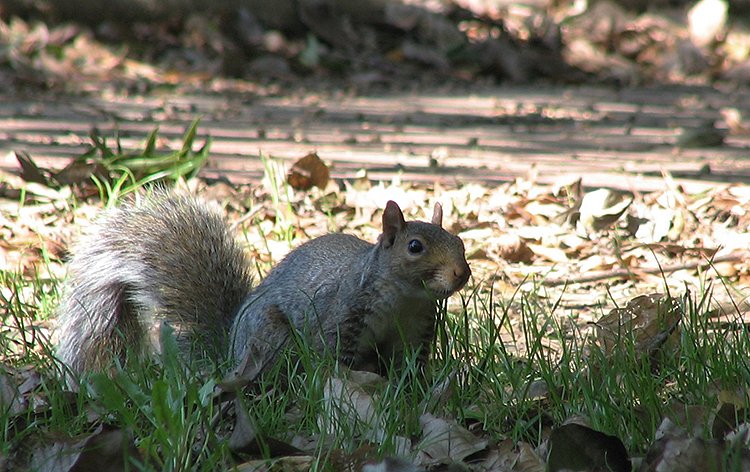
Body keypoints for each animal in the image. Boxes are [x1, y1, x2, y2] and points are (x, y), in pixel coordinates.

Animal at [55, 192, 471, 378]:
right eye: (414, 247)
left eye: (460, 242)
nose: (461, 274)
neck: (404, 300)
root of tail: (230, 350)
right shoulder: (343, 315)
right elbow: (334, 358)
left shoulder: (415, 328)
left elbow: (409, 365)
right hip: (271, 334)